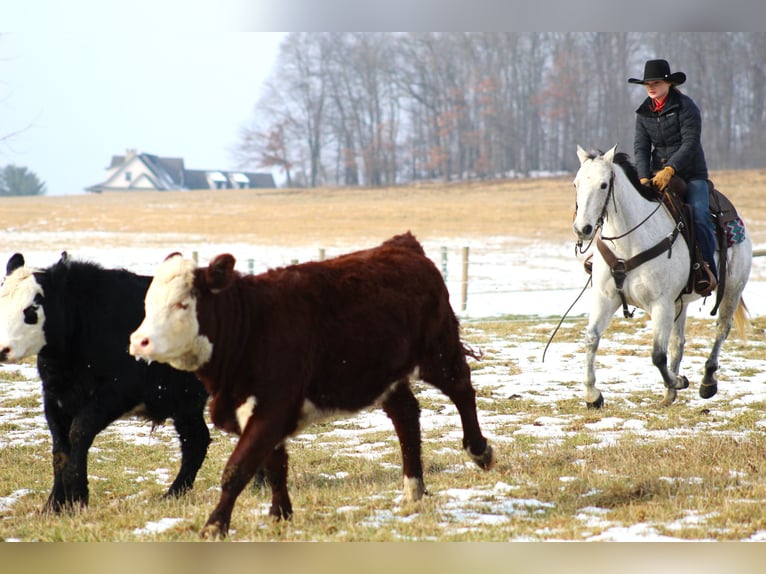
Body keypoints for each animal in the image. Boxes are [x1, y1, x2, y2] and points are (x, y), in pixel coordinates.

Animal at [0, 254, 212, 510]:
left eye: (31, 309)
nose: (2, 349)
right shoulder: (54, 398)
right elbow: (60, 450)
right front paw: (54, 505)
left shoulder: (115, 394)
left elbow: (79, 433)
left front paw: (77, 496)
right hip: (185, 402)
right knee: (196, 441)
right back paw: (173, 494)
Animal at [572, 146, 752, 412]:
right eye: (576, 184)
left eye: (604, 185)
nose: (582, 229)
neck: (629, 243)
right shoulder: (606, 299)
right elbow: (591, 338)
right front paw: (592, 395)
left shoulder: (661, 304)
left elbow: (657, 355)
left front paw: (678, 381)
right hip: (681, 303)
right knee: (678, 341)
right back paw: (670, 393)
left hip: (732, 289)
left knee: (721, 329)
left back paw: (707, 381)